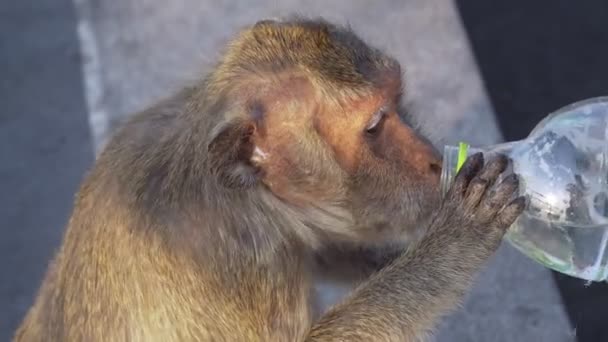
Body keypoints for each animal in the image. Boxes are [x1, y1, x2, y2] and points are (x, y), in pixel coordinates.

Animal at [14, 16, 524, 342]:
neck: (240, 193)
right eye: (376, 125)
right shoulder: (236, 266)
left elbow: (318, 249)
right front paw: (457, 237)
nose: (433, 161)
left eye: (397, 103)